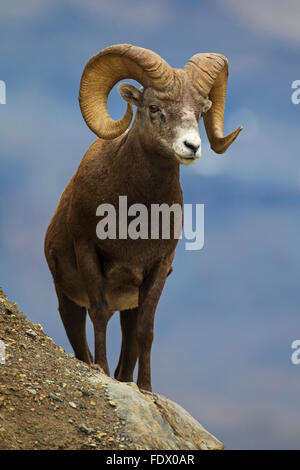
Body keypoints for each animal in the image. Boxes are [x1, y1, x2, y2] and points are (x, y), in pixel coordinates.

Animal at [44, 44, 241, 392]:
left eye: (200, 111)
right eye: (154, 108)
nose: (191, 147)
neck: (135, 216)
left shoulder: (158, 267)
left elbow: (146, 330)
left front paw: (146, 388)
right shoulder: (88, 252)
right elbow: (99, 314)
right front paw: (102, 370)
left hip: (128, 306)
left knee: (128, 345)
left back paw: (127, 380)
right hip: (67, 300)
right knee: (81, 341)